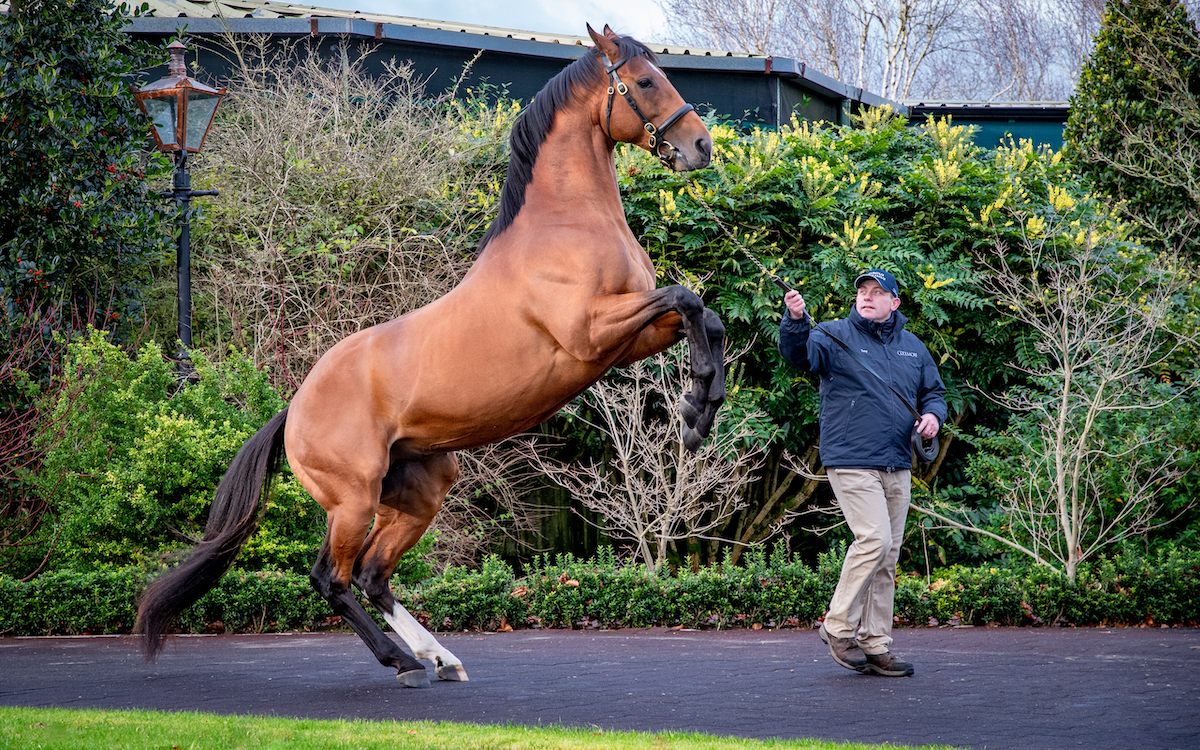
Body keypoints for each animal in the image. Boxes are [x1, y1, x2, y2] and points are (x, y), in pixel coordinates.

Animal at [136, 26, 724, 686]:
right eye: (644, 81)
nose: (700, 145)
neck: (565, 223)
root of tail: (294, 411)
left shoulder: (628, 337)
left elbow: (706, 315)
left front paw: (701, 406)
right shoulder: (592, 335)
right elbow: (687, 298)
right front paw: (696, 407)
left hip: (417, 494)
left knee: (373, 575)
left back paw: (440, 657)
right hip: (353, 500)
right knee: (332, 578)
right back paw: (401, 659)